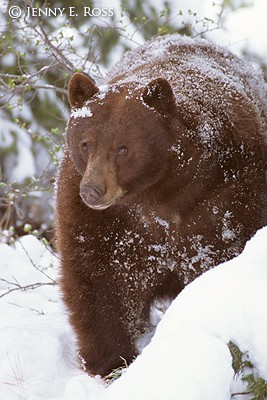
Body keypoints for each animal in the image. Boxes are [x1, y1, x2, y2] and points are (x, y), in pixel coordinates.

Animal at [55, 34, 267, 378]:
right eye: (85, 143)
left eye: (123, 148)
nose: (92, 191)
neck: (157, 194)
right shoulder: (101, 219)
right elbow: (97, 277)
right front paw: (112, 361)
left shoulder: (223, 196)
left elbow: (215, 260)